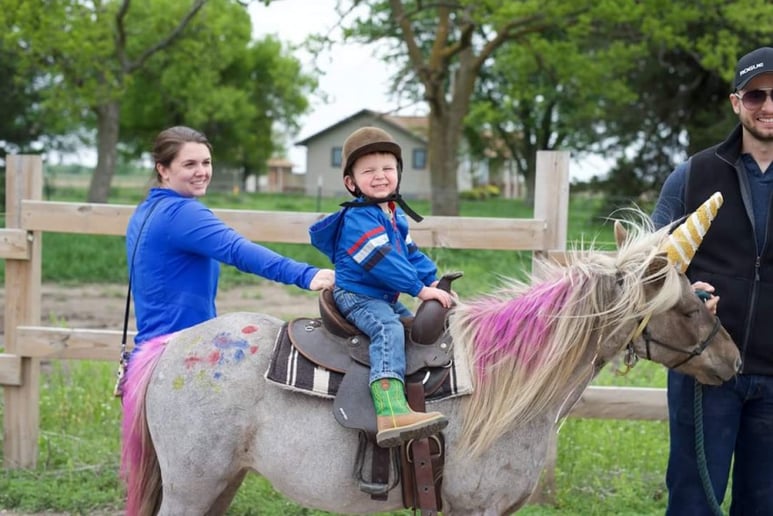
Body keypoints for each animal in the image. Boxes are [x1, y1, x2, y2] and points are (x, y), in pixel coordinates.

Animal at [120, 216, 742, 516]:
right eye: (687, 307)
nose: (733, 360)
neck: (505, 388)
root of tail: (171, 348)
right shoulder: (476, 509)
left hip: (219, 484)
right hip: (192, 486)